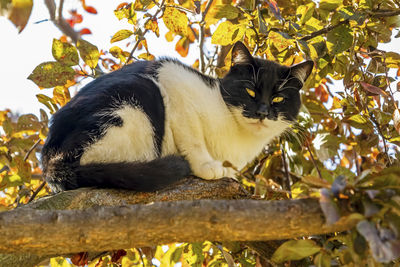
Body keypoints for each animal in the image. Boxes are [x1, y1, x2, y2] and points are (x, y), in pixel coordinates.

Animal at [42, 41, 314, 193]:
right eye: (250, 91)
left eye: (278, 99)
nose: (262, 112)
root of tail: (50, 159)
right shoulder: (173, 77)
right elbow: (192, 138)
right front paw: (207, 166)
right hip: (138, 96)